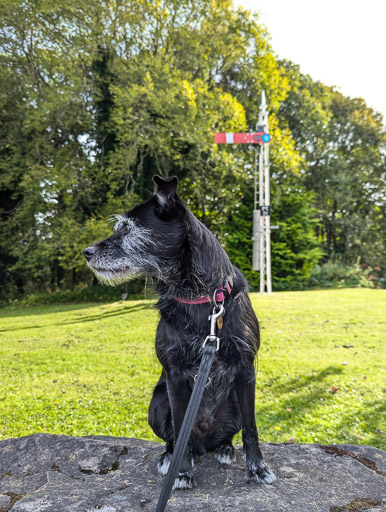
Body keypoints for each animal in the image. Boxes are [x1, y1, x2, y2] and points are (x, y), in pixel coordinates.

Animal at [84, 175, 276, 488]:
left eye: (127, 228)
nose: (87, 252)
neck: (199, 298)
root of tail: (204, 443)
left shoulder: (246, 368)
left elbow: (251, 428)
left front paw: (257, 468)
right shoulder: (174, 374)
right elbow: (179, 426)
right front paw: (182, 471)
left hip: (233, 401)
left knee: (226, 435)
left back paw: (224, 448)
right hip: (157, 402)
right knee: (176, 438)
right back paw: (169, 457)